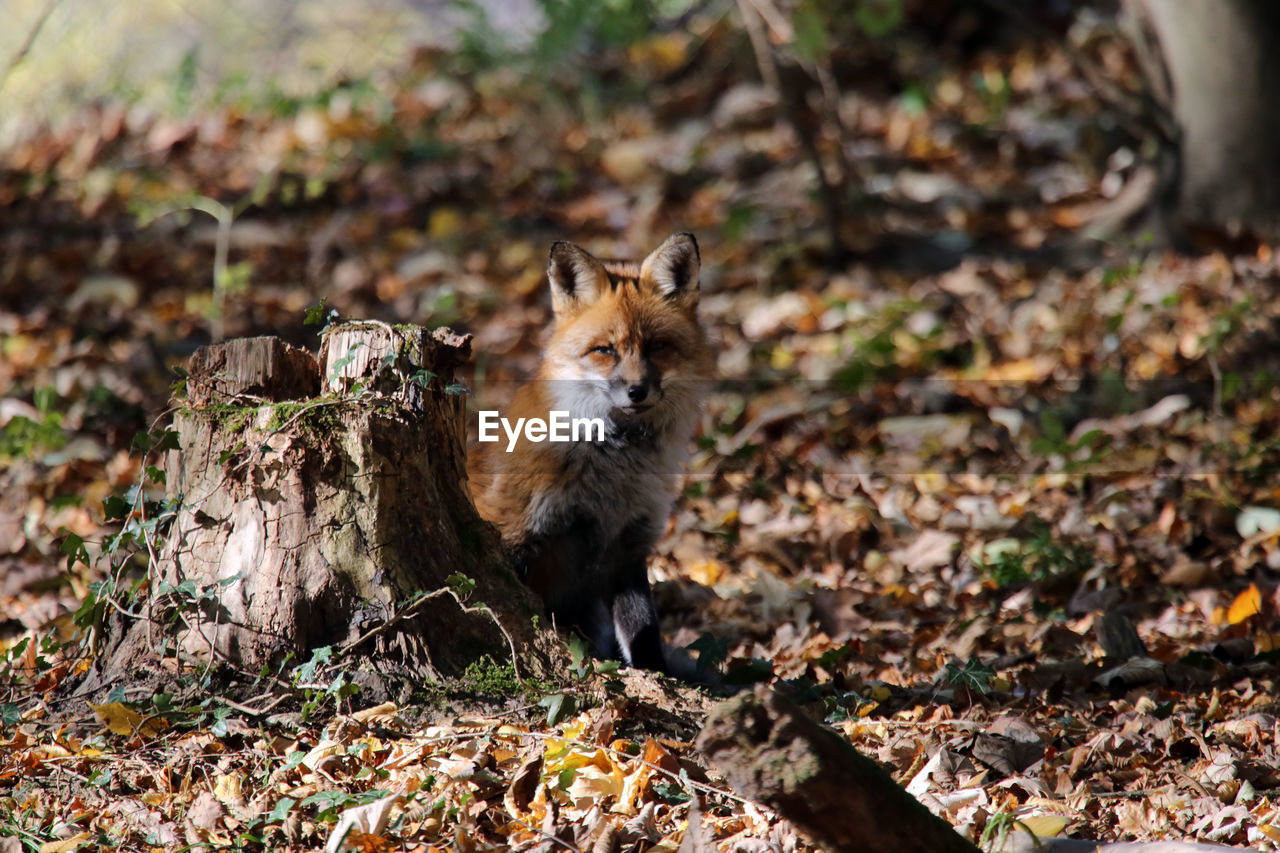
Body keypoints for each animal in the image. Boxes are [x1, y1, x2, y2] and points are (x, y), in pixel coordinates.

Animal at [468, 233, 711, 671]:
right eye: (605, 350)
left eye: (657, 347)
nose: (636, 391)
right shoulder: (513, 536)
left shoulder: (629, 546)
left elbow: (644, 630)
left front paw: (657, 677)